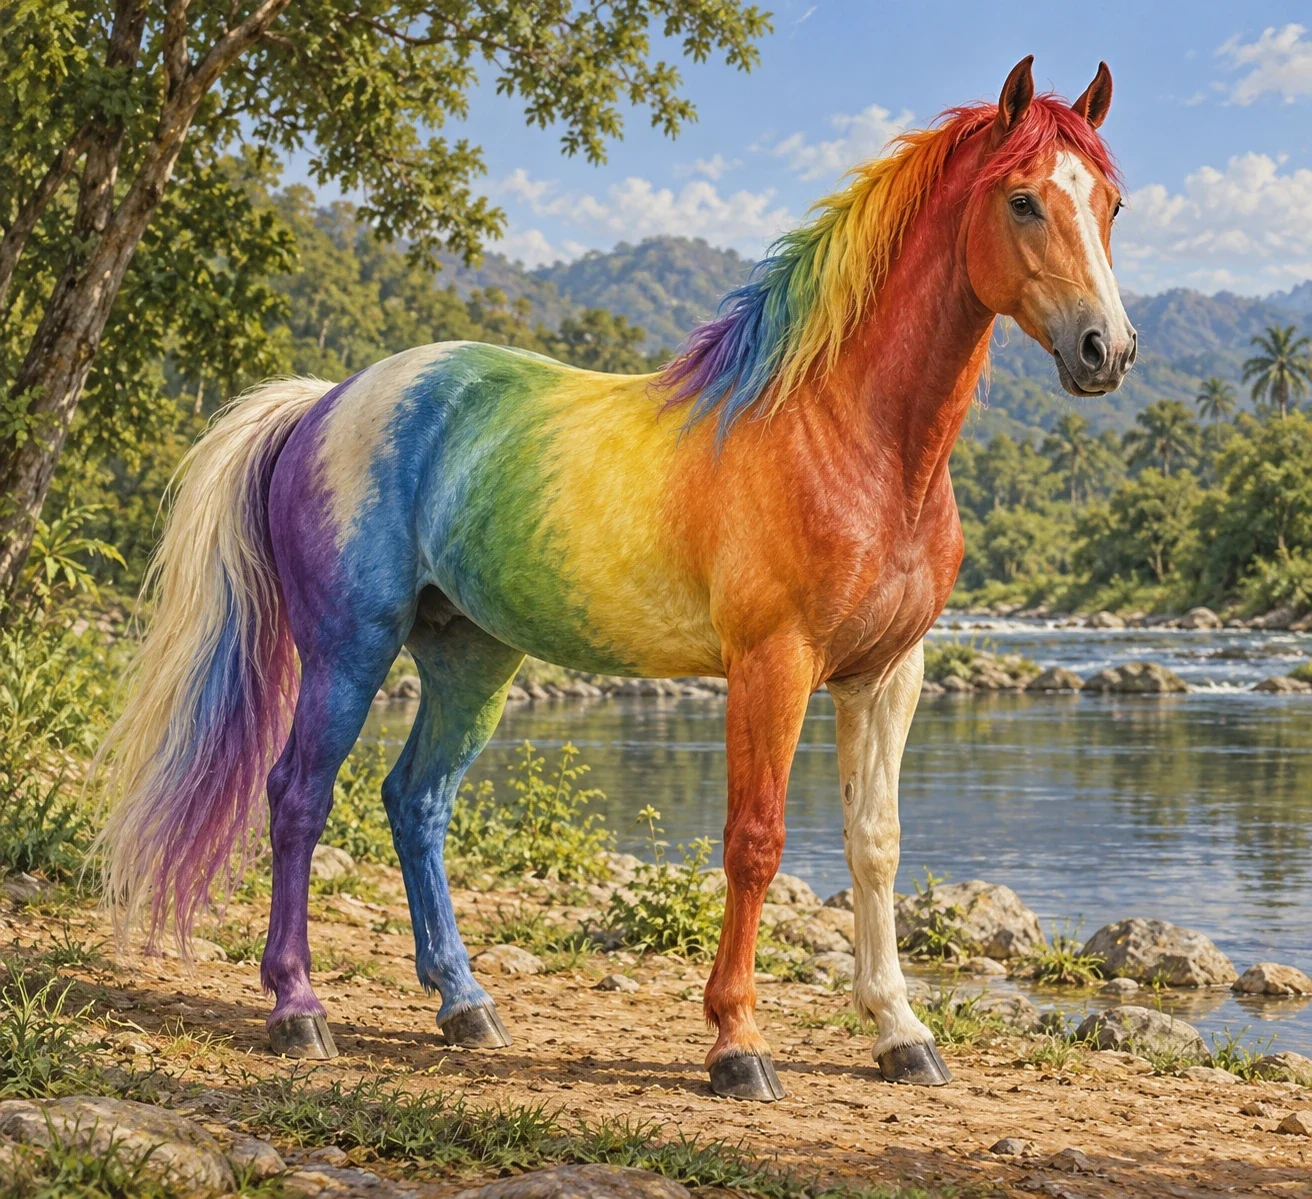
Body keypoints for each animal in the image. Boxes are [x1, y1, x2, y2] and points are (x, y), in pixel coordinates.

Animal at [97, 56, 1135, 1102]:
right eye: (1021, 199)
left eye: (1112, 204)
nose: (1107, 350)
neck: (846, 435)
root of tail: (325, 401)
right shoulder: (772, 665)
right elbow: (754, 843)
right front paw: (737, 1043)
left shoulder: (886, 676)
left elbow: (874, 845)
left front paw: (901, 1032)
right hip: (349, 648)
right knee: (300, 796)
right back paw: (297, 1009)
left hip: (472, 660)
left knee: (416, 801)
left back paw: (466, 1006)